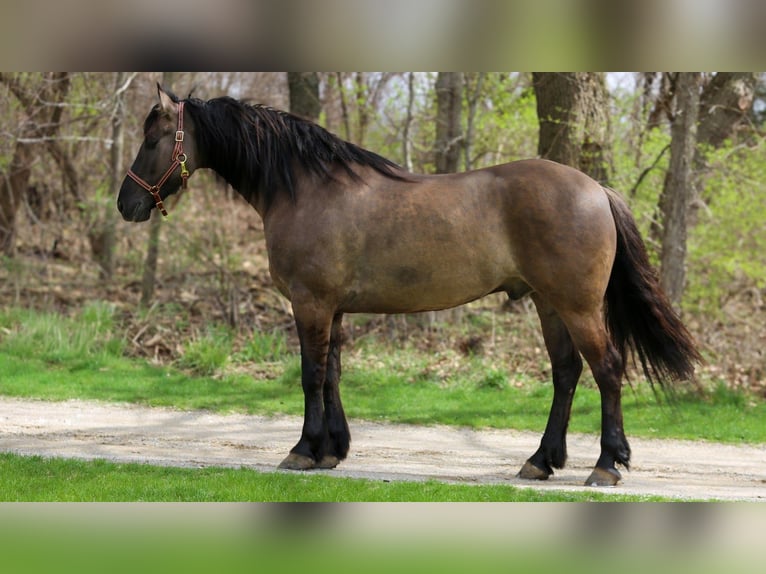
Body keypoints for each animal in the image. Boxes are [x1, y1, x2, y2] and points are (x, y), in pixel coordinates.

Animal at [118, 85, 701, 486]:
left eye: (152, 139)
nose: (127, 203)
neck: (306, 188)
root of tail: (597, 190)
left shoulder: (310, 304)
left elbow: (310, 376)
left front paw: (303, 451)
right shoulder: (332, 308)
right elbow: (332, 375)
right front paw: (332, 450)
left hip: (576, 305)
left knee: (608, 370)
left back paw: (606, 465)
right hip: (549, 304)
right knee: (566, 373)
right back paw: (539, 461)